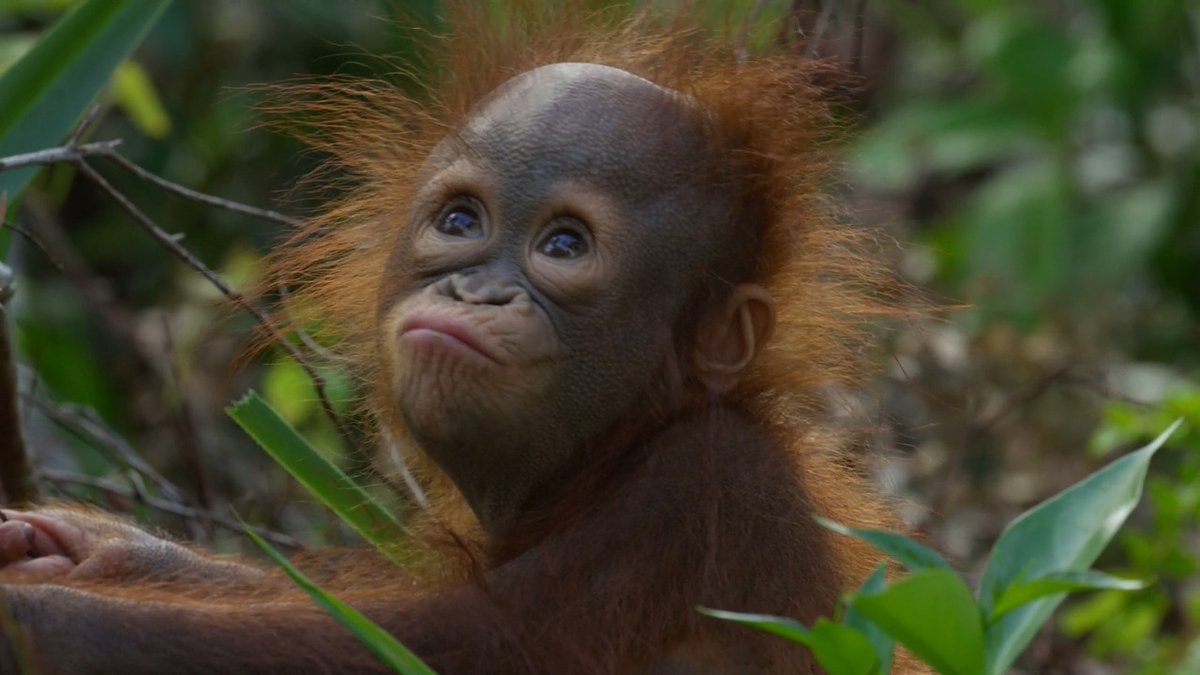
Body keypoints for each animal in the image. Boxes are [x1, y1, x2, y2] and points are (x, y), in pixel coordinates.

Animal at [0, 6, 906, 674]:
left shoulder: (692, 491)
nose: (477, 291)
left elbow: (453, 639)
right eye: (463, 221)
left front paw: (40, 618)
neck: (627, 440)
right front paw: (103, 549)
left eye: (564, 245)